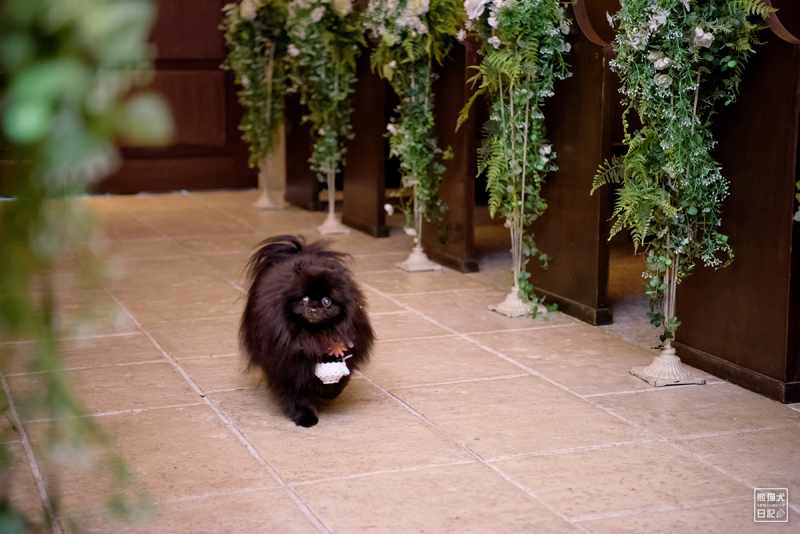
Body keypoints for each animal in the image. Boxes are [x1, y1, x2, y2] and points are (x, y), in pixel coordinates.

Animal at [239, 237, 374, 430]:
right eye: (304, 300)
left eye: (326, 301)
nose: (313, 309)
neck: (314, 334)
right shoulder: (288, 366)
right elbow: (297, 396)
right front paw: (305, 417)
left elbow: (338, 381)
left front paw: (328, 392)